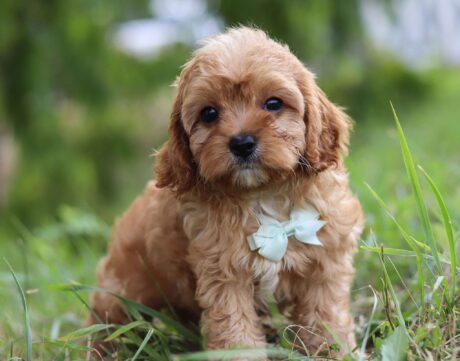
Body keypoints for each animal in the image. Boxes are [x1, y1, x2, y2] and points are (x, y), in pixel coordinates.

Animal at [90, 26, 362, 352]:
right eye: (209, 113)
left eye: (273, 104)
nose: (242, 142)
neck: (264, 195)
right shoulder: (223, 270)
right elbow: (235, 327)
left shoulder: (325, 258)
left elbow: (325, 314)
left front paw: (333, 349)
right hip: (121, 291)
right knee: (105, 319)